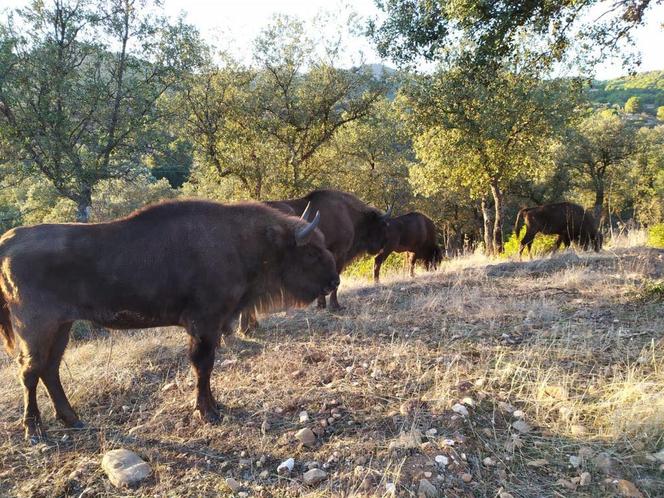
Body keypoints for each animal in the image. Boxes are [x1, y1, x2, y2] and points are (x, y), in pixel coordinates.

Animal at [0, 198, 340, 440]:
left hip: (62, 327)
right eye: (311, 252)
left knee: (50, 370)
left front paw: (215, 406)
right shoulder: (204, 325)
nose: (334, 280)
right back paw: (34, 431)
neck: (242, 241)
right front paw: (208, 413)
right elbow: (203, 366)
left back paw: (73, 420)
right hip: (37, 329)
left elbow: (205, 367)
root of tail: (8, 241)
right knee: (30, 372)